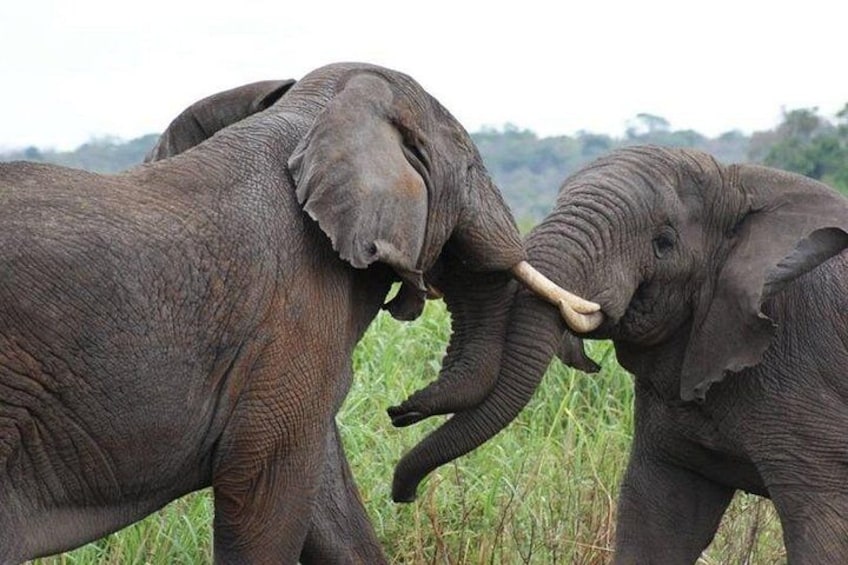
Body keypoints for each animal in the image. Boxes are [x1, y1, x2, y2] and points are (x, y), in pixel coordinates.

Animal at [0, 62, 599, 563]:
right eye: (474, 167)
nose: (399, 412)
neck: (313, 114)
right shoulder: (290, 318)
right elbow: (265, 485)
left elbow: (327, 503)